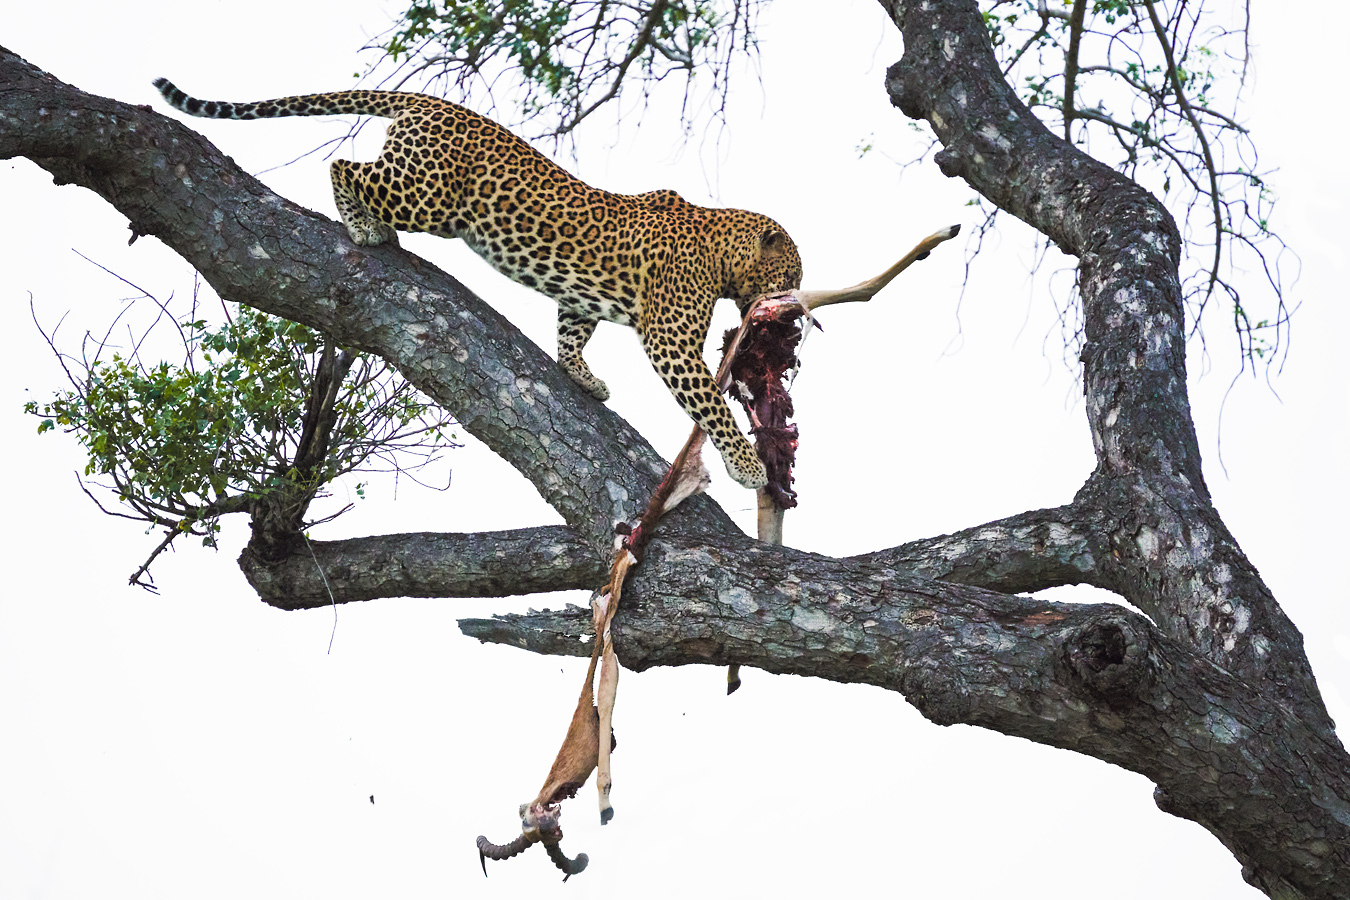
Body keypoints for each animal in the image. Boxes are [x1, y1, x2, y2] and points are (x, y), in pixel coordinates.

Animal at [153, 79, 806, 490]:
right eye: (793, 275)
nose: (798, 308)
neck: (722, 252)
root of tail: (429, 101)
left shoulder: (581, 297)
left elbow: (572, 333)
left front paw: (582, 377)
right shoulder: (670, 339)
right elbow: (712, 404)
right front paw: (748, 465)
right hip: (429, 196)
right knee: (344, 166)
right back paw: (364, 226)